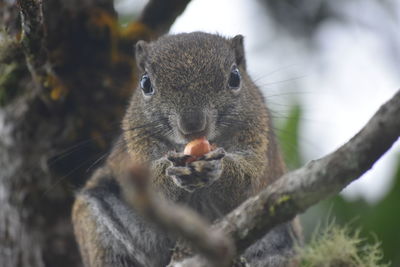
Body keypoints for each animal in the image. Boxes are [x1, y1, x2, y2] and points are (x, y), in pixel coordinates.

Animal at [72, 31, 300, 267]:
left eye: (235, 78)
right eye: (145, 83)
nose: (192, 124)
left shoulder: (258, 139)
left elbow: (247, 181)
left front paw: (217, 168)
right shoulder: (137, 147)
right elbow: (153, 186)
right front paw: (174, 171)